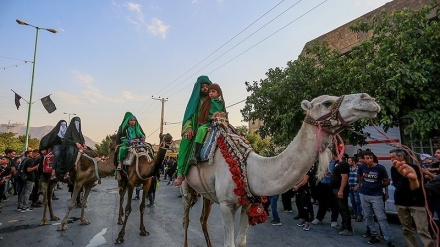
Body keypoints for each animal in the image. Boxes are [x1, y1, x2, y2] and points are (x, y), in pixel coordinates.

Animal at [180, 93, 380, 247]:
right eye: (326, 103)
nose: (368, 99)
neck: (250, 169)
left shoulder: (246, 202)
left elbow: (241, 241)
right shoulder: (226, 204)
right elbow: (229, 244)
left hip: (206, 193)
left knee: (203, 220)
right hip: (187, 186)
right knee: (186, 220)